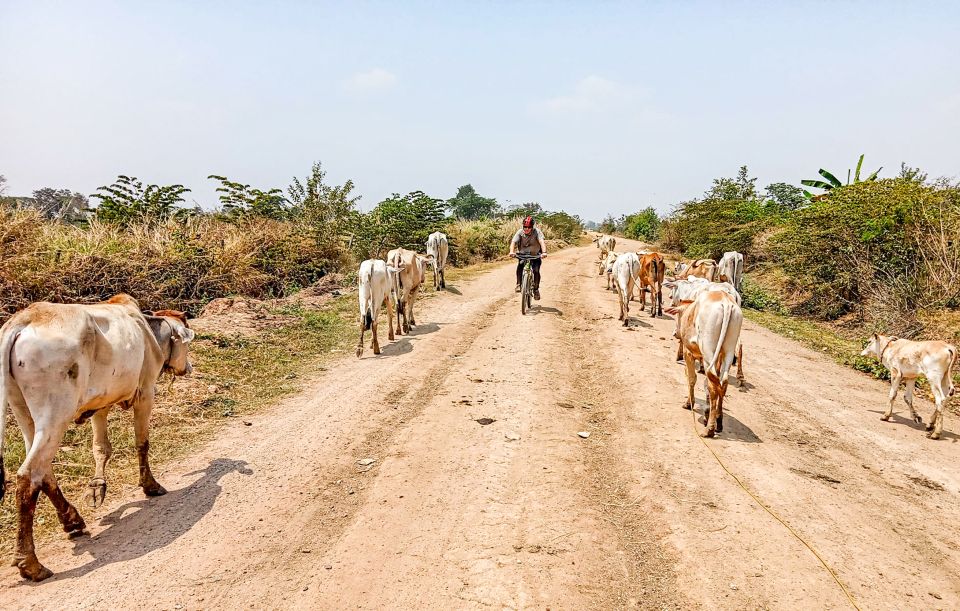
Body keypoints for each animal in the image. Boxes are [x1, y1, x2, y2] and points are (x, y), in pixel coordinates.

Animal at [676, 290, 744, 438]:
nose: (676, 334)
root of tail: (725, 301)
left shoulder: (688, 352)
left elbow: (692, 378)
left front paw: (689, 403)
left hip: (708, 349)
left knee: (713, 386)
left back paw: (710, 429)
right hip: (728, 349)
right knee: (722, 383)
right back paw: (718, 421)